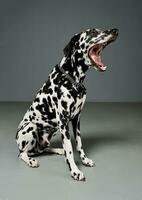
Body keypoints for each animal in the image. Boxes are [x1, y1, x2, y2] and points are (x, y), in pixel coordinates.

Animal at [15, 27, 118, 181]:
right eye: (93, 32)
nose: (115, 30)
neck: (72, 79)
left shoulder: (76, 119)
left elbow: (79, 144)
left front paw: (84, 160)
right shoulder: (63, 121)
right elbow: (69, 148)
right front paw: (74, 170)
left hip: (52, 132)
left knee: (41, 149)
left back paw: (58, 150)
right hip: (31, 127)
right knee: (22, 153)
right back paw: (31, 160)